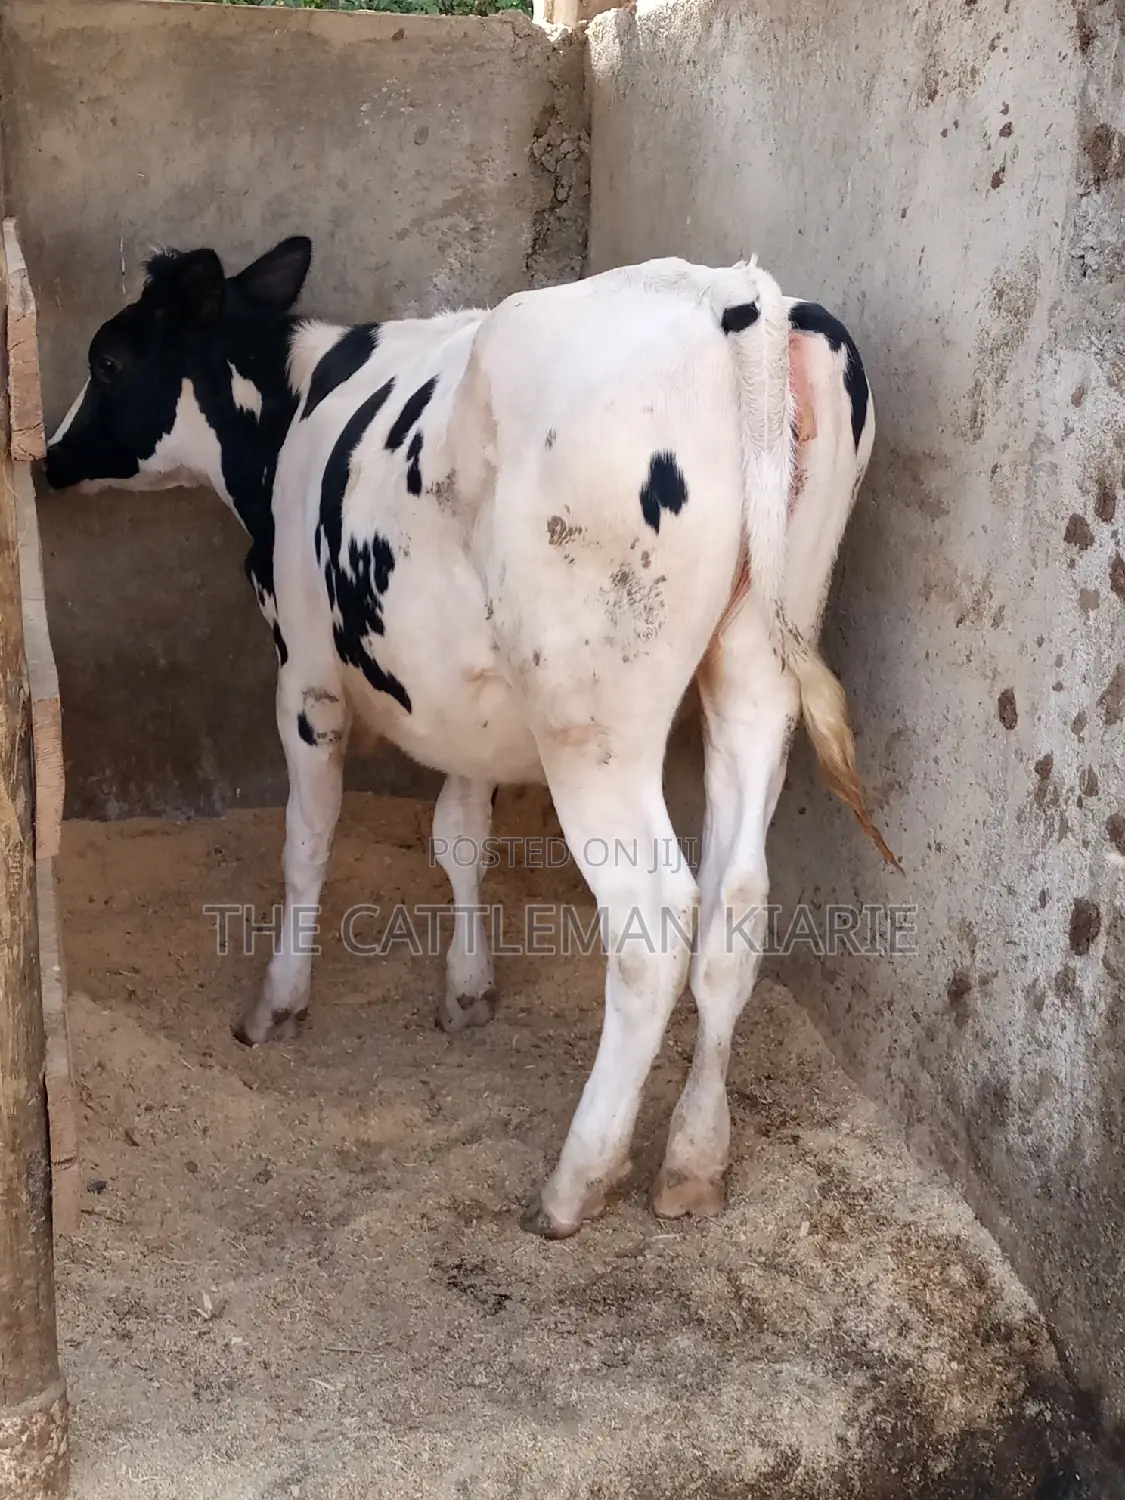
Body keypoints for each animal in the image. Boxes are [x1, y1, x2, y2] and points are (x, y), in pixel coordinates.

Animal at [44, 236, 897, 1238]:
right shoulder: (464, 701)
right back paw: (692, 1163)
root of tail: (731, 294)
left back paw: (576, 1182)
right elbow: (459, 835)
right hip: (758, 666)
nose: (47, 458)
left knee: (652, 925)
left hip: (589, 716)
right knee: (736, 906)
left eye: (108, 360)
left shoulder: (304, 678)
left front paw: (277, 1005)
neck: (290, 418)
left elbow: (307, 843)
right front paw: (466, 989)